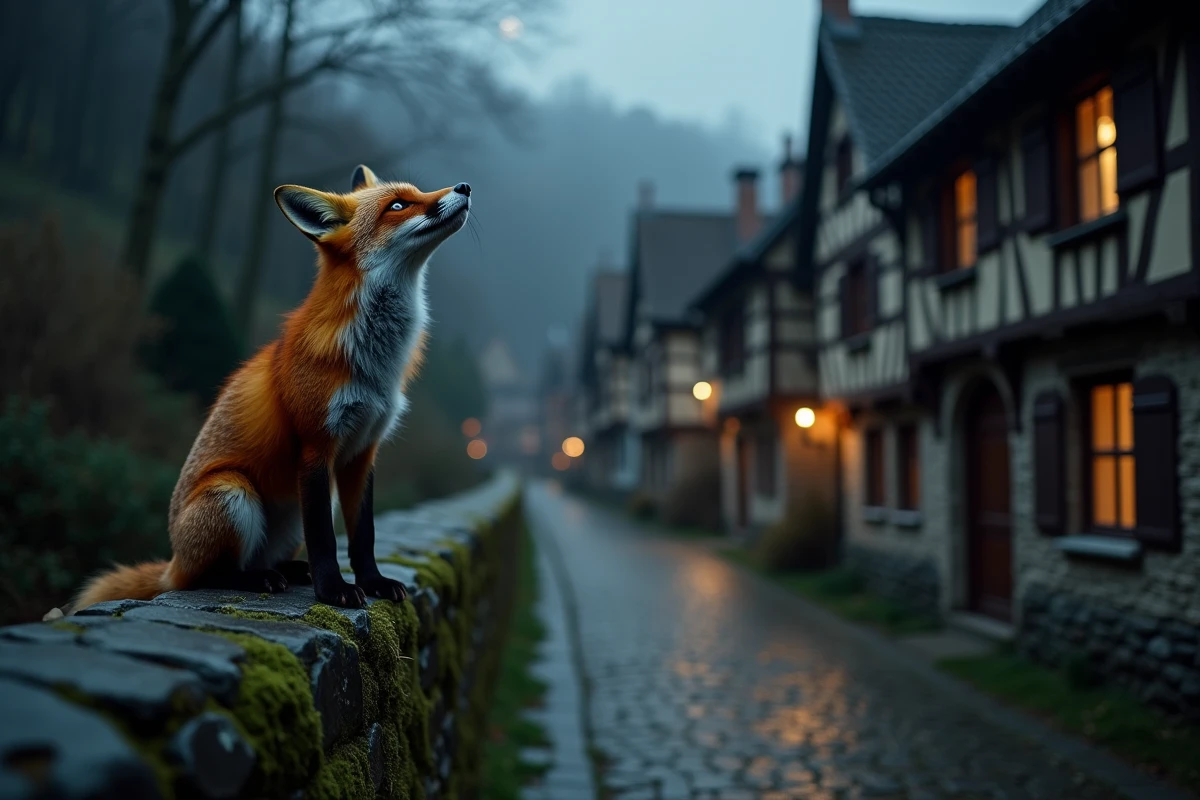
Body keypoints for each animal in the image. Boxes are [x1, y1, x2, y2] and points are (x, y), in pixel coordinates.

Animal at [72, 165, 471, 610]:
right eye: (398, 205)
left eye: (416, 193)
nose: (465, 187)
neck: (374, 366)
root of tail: (173, 560)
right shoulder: (316, 447)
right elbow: (325, 539)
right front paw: (334, 590)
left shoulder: (362, 452)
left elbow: (363, 535)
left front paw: (373, 582)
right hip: (233, 494)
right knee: (207, 577)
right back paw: (258, 579)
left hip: (292, 513)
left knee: (268, 557)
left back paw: (290, 570)